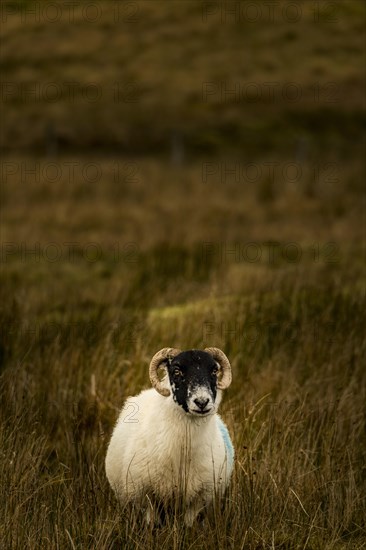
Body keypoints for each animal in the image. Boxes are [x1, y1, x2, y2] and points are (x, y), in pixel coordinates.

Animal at [104, 348, 234, 528]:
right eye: (177, 371)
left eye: (214, 370)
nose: (202, 402)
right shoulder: (147, 496)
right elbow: (151, 524)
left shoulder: (198, 499)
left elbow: (188, 525)